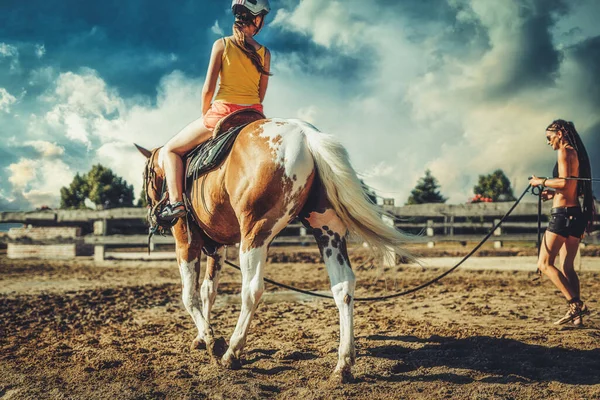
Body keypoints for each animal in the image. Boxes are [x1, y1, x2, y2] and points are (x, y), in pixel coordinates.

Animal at [135, 118, 410, 382]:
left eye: (146, 176)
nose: (153, 215)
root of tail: (306, 134)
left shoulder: (185, 241)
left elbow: (189, 295)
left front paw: (212, 341)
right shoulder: (218, 247)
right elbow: (207, 291)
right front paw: (203, 337)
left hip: (255, 234)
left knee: (252, 290)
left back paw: (232, 353)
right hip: (326, 229)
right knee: (343, 286)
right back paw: (343, 364)